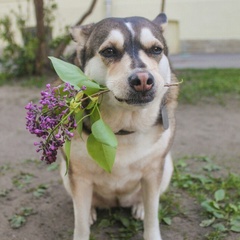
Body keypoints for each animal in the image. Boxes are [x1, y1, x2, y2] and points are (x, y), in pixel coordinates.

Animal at [60, 12, 178, 240]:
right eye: (109, 51)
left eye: (156, 49)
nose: (143, 79)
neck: (121, 130)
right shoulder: (79, 176)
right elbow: (80, 224)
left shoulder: (154, 171)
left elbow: (153, 215)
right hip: (65, 172)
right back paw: (91, 210)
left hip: (167, 166)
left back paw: (139, 207)